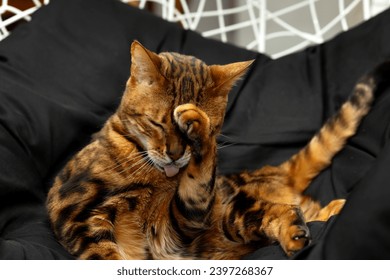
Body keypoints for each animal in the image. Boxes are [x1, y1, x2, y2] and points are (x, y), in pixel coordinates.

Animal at [47, 40, 388, 260]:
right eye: (156, 124)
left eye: (215, 127)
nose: (175, 154)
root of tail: (267, 171)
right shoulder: (78, 215)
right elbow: (104, 256)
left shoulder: (176, 225)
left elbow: (199, 172)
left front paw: (197, 125)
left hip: (231, 215)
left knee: (283, 210)